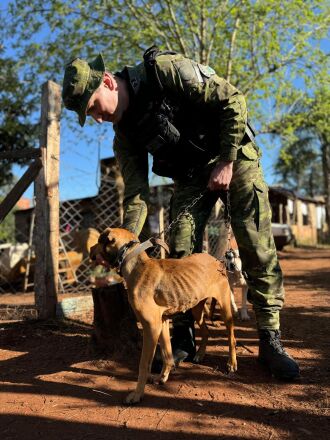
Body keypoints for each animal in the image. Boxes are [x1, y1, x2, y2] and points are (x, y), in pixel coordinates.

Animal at [90, 229, 237, 404]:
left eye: (99, 241)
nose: (90, 249)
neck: (135, 264)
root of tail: (216, 260)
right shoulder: (162, 322)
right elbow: (167, 354)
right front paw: (163, 378)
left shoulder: (151, 327)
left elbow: (144, 364)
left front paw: (137, 394)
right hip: (196, 308)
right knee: (206, 330)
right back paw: (200, 354)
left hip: (225, 307)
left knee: (231, 337)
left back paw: (231, 364)